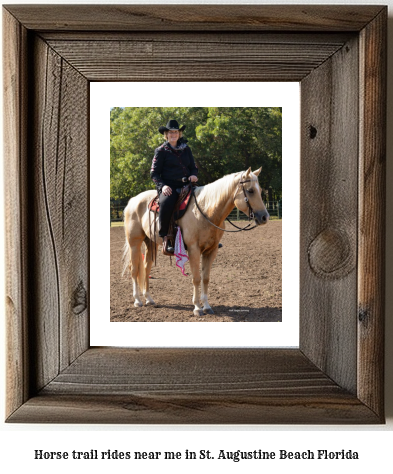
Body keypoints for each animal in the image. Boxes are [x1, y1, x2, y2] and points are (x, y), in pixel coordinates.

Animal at [122, 168, 270, 316]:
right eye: (250, 190)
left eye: (260, 190)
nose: (264, 217)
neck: (206, 211)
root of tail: (133, 201)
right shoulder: (194, 250)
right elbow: (196, 278)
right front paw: (197, 308)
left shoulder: (211, 250)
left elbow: (205, 278)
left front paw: (207, 306)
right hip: (134, 243)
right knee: (134, 269)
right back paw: (137, 300)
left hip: (151, 243)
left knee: (146, 268)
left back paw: (149, 299)